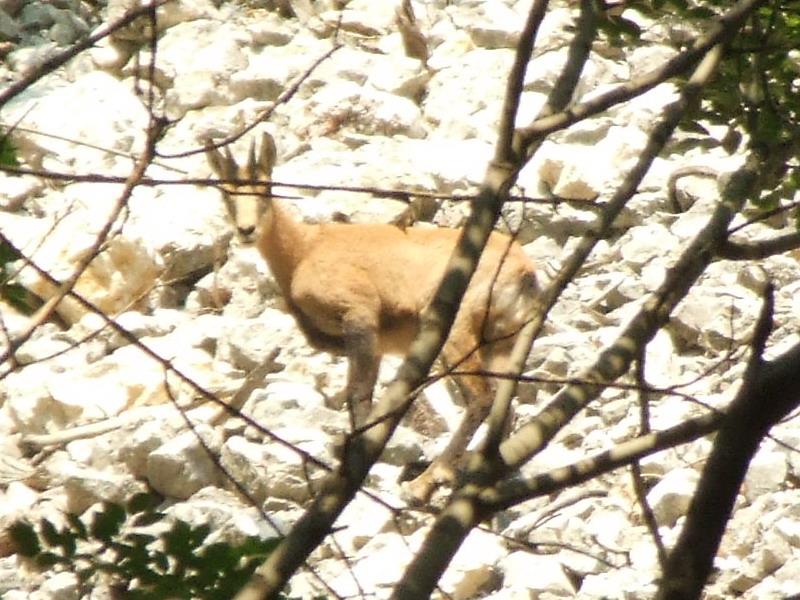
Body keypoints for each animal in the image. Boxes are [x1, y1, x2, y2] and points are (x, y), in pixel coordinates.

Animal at [206, 132, 539, 503]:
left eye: (266, 188)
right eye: (225, 193)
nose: (246, 229)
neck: (303, 251)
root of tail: (525, 273)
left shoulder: (359, 314)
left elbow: (358, 397)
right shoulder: (377, 346)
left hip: (456, 329)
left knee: (481, 397)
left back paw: (424, 482)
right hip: (501, 340)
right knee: (504, 401)